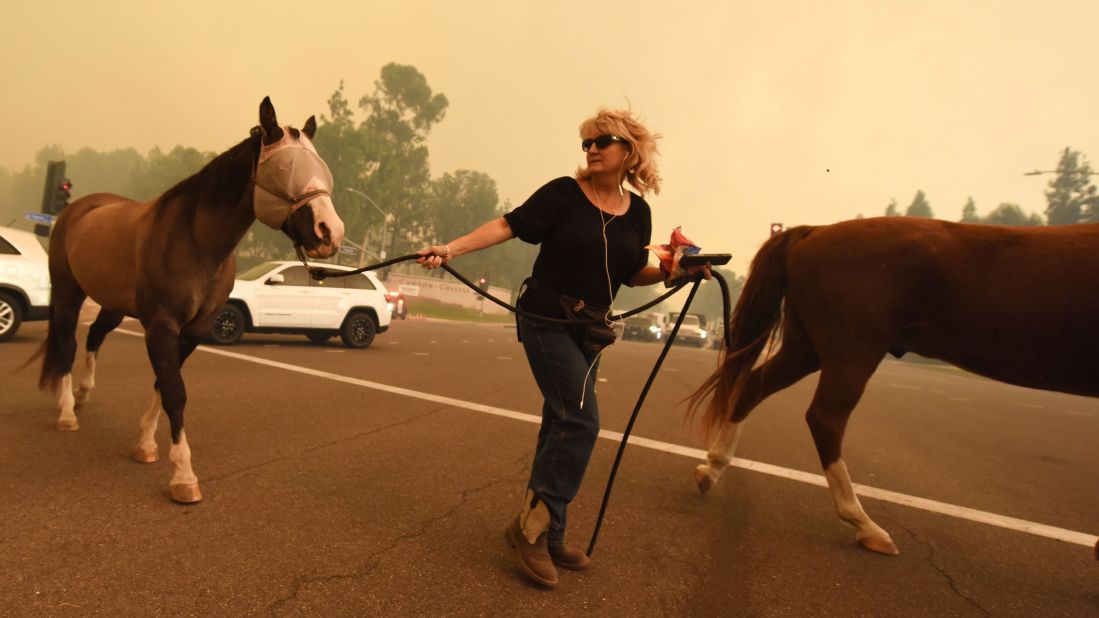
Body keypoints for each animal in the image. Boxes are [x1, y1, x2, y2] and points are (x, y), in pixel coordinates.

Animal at [31, 96, 342, 501]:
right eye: (285, 168)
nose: (330, 232)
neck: (195, 243)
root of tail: (79, 207)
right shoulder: (161, 327)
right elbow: (174, 392)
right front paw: (183, 476)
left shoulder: (194, 330)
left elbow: (163, 383)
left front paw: (145, 445)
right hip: (69, 291)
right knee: (67, 344)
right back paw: (68, 413)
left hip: (113, 304)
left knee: (95, 336)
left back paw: (83, 396)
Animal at [685, 217, 1099, 558]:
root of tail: (816, 229)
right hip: (853, 350)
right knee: (825, 419)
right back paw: (864, 523)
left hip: (807, 346)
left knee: (754, 387)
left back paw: (713, 468)